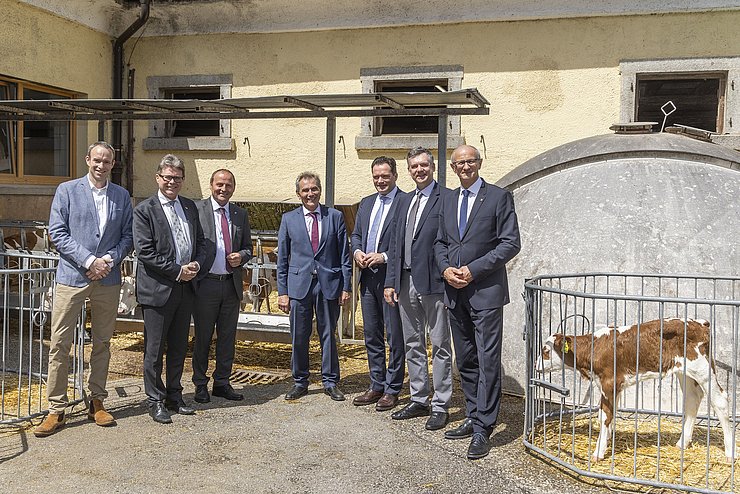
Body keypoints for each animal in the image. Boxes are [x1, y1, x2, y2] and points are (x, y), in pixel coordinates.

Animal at [536, 318, 736, 462]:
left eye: (546, 351)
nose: (536, 366)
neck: (594, 348)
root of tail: (700, 323)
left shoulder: (609, 383)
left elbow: (604, 416)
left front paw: (598, 452)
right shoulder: (615, 386)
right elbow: (609, 414)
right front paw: (608, 440)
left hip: (703, 368)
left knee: (720, 401)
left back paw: (730, 453)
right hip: (684, 371)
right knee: (693, 399)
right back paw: (682, 442)